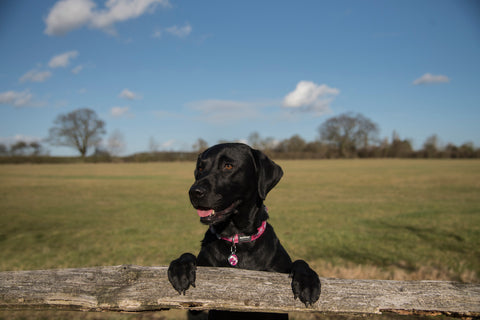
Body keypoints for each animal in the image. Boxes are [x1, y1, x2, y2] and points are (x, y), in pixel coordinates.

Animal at [167, 144, 320, 318]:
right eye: (200, 168)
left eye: (228, 166)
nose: (194, 192)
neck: (237, 238)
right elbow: (187, 255)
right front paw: (181, 269)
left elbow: (300, 262)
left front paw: (307, 282)